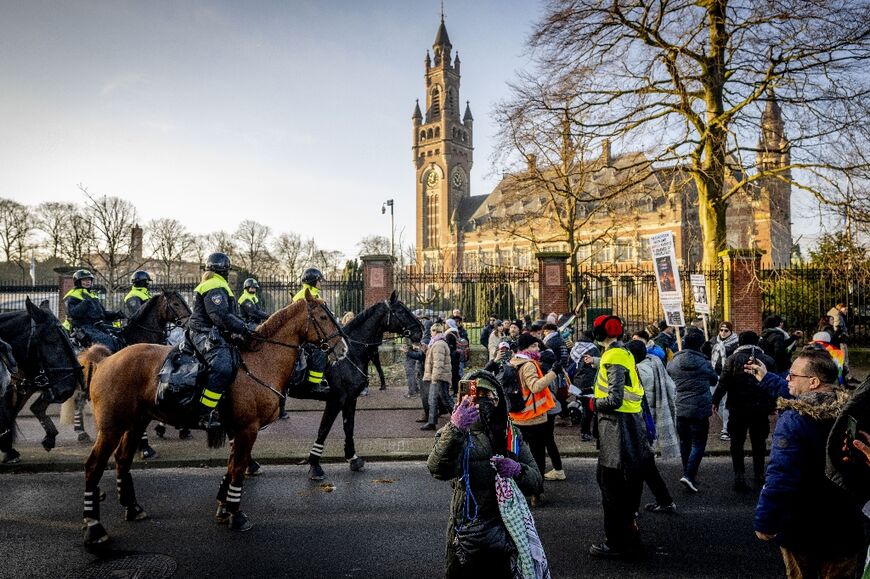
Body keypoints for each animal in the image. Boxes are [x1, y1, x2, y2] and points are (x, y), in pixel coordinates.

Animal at [81, 294, 348, 548]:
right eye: (323, 317)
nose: (344, 349)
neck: (261, 361)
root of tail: (105, 360)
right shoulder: (247, 429)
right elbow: (238, 468)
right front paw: (235, 515)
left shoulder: (236, 429)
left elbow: (230, 467)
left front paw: (223, 506)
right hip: (111, 427)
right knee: (93, 466)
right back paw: (94, 527)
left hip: (136, 422)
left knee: (122, 460)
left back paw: (132, 507)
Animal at [296, 292, 426, 482]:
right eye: (401, 311)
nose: (420, 330)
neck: (350, 353)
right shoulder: (335, 400)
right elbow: (323, 430)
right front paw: (314, 465)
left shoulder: (350, 399)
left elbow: (349, 427)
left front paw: (353, 458)